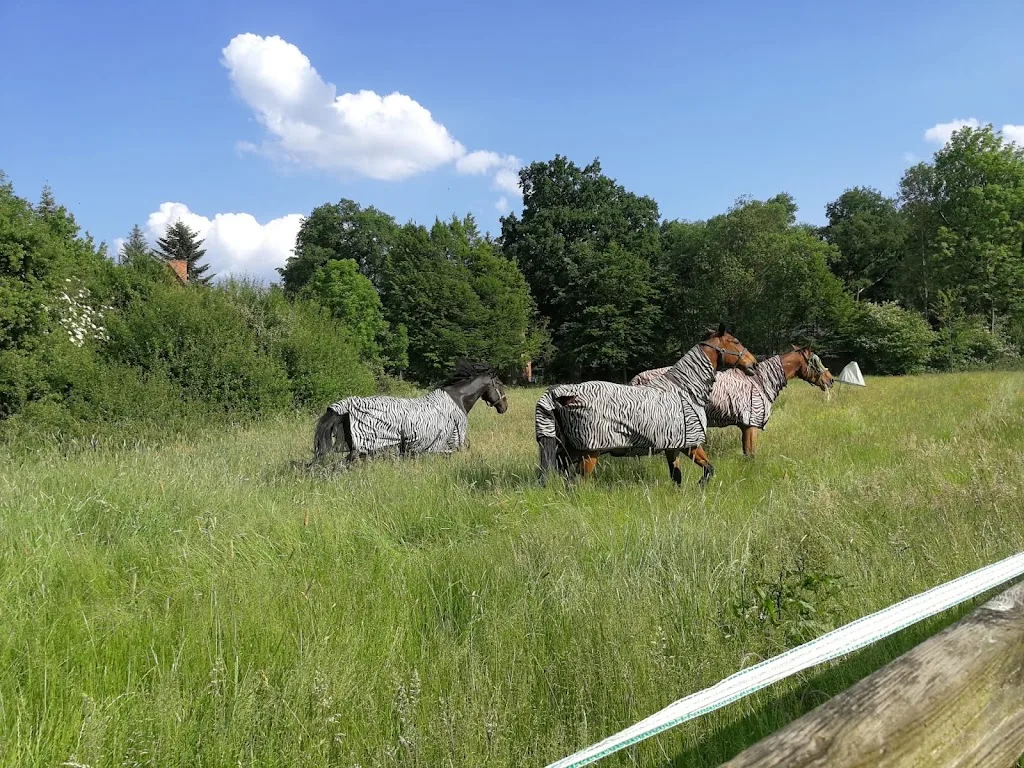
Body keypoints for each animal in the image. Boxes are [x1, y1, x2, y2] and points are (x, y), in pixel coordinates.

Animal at [312, 360, 508, 465]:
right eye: (499, 384)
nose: (504, 407)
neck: (457, 399)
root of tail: (346, 407)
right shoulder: (451, 443)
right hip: (361, 449)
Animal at [535, 324, 759, 487]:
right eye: (735, 341)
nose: (754, 364)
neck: (685, 390)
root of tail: (561, 394)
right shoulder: (691, 444)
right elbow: (709, 469)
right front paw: (700, 486)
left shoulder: (673, 447)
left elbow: (676, 477)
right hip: (589, 454)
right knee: (577, 484)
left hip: (566, 453)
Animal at [631, 344, 833, 456]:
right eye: (816, 361)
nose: (830, 380)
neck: (760, 381)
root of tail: (637, 380)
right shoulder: (751, 426)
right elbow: (751, 455)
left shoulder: (745, 427)